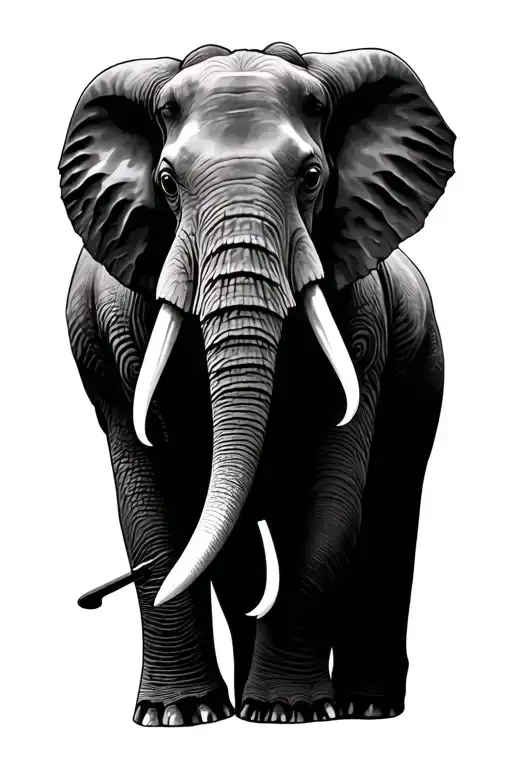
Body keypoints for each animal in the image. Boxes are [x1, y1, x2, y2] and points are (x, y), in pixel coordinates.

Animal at [59, 41, 455, 726]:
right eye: (167, 181)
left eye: (313, 176)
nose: (88, 600)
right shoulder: (111, 338)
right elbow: (152, 502)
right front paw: (177, 716)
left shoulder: (367, 324)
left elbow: (330, 501)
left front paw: (287, 712)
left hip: (423, 363)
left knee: (388, 506)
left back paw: (364, 707)